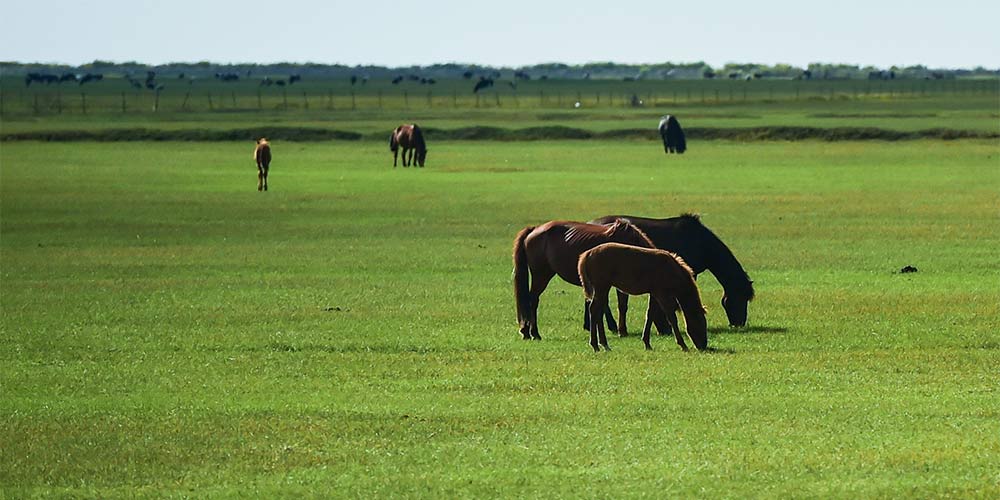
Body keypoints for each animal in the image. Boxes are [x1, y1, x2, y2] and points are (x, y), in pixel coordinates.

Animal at [512, 220, 660, 340]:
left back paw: (526, 331)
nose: (665, 332)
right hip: (541, 275)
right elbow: (621, 305)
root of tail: (534, 229)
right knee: (532, 300)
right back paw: (534, 333)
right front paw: (621, 331)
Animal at [576, 242, 708, 352]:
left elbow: (650, 315)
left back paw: (603, 344)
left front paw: (647, 343)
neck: (671, 270)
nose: (703, 346)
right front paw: (683, 345)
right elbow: (672, 317)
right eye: (701, 323)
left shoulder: (654, 294)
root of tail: (587, 254)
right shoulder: (661, 294)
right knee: (594, 309)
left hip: (603, 288)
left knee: (598, 311)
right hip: (602, 287)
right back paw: (596, 345)